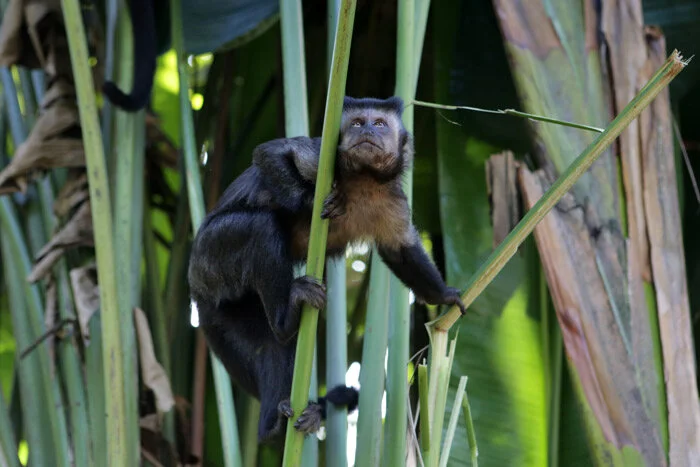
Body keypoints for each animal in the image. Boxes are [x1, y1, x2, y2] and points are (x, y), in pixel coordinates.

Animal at [187, 96, 466, 444]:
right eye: (357, 123)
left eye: (380, 123)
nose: (368, 130)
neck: (363, 178)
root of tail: (196, 289)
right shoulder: (323, 155)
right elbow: (271, 153)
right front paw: (309, 202)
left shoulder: (393, 198)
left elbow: (400, 251)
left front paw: (443, 295)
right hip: (211, 256)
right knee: (261, 226)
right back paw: (286, 317)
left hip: (227, 307)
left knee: (270, 345)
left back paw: (284, 418)